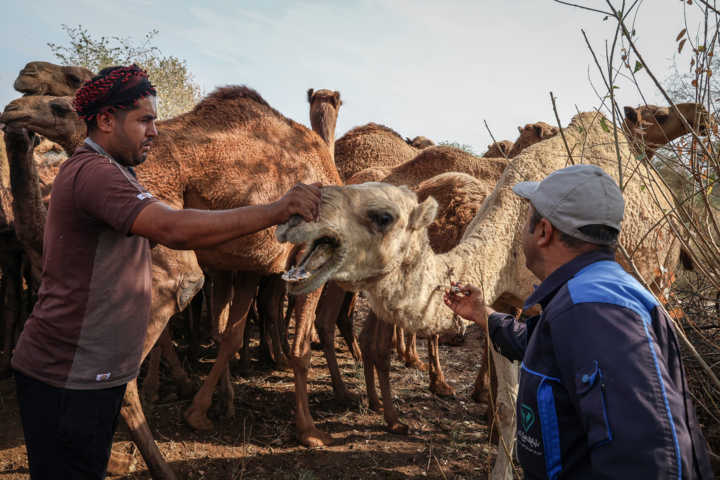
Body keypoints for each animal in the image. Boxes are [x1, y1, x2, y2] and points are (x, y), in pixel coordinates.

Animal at [276, 111, 688, 476]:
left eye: (383, 217)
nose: (294, 218)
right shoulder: (504, 302)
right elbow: (508, 402)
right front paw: (501, 467)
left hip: (661, 279)